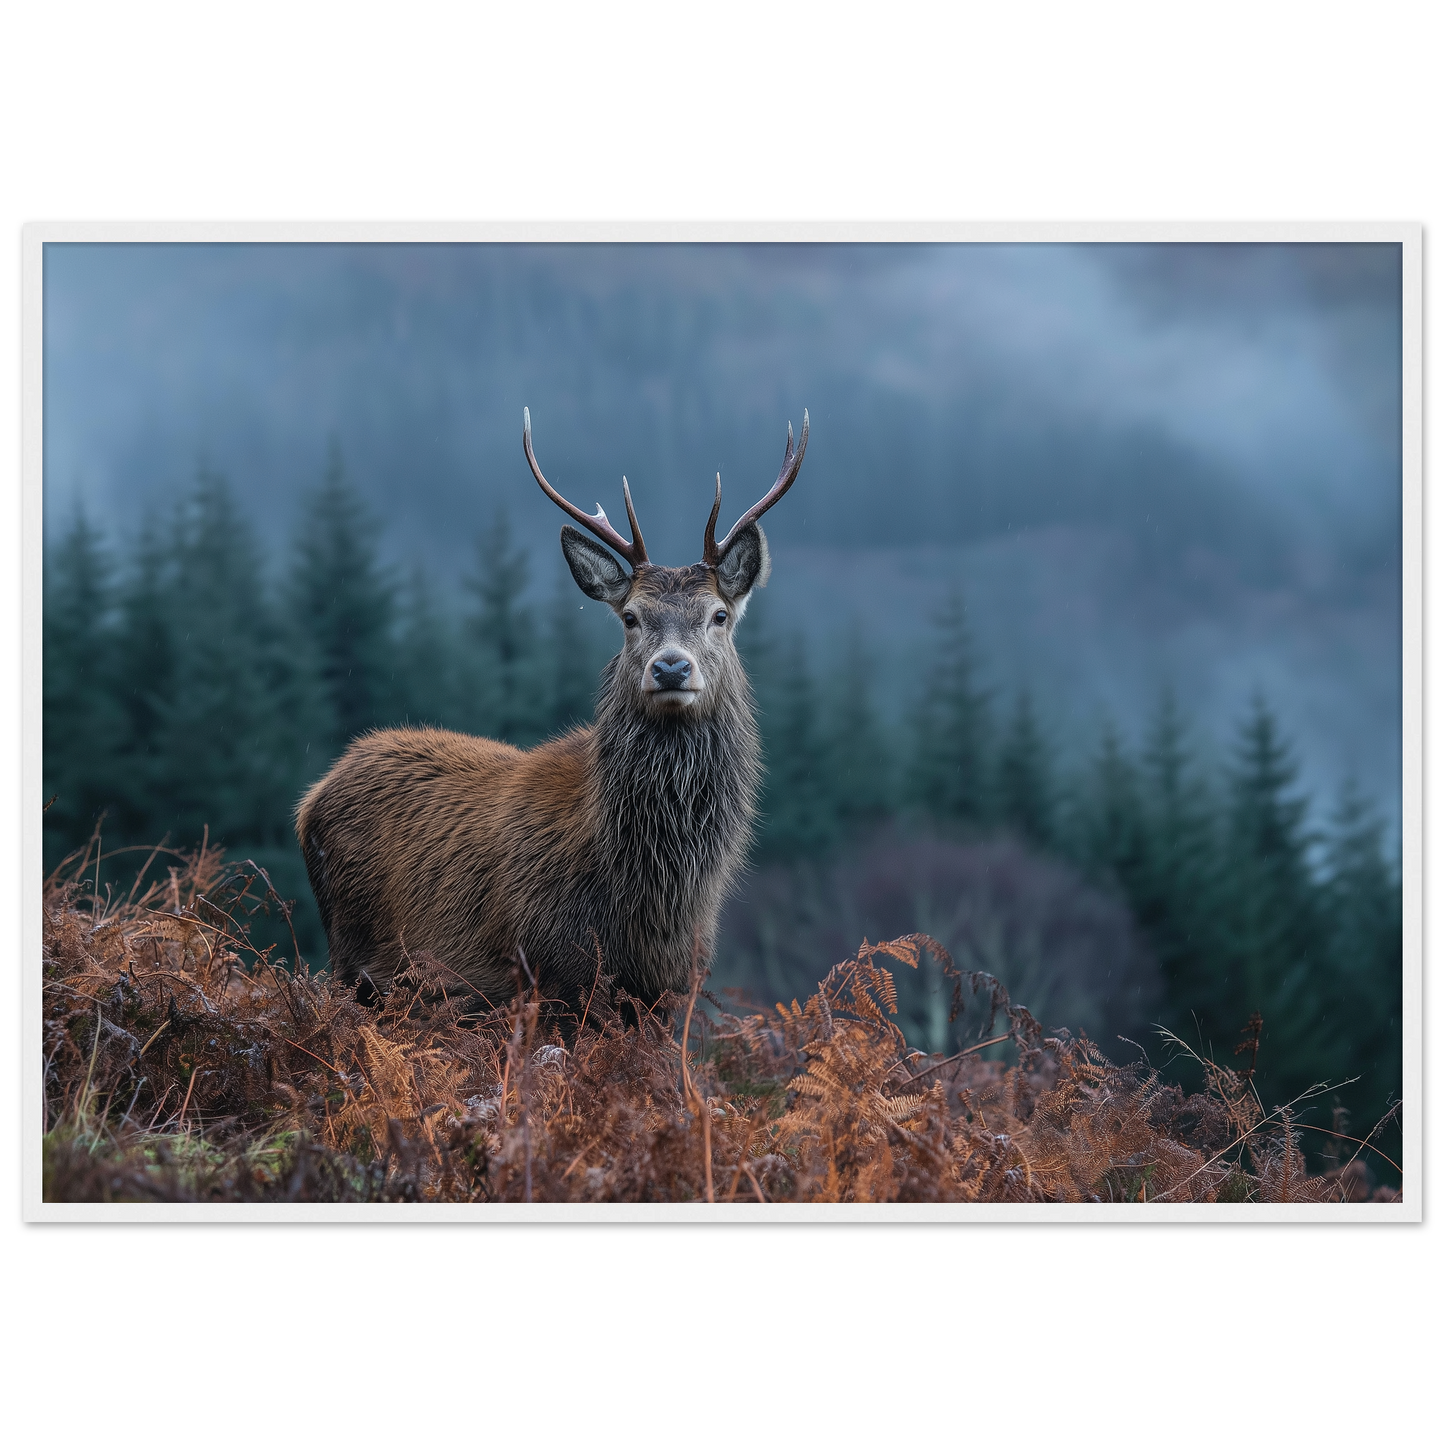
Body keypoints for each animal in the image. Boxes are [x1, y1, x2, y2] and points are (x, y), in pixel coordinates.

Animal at [295, 406, 809, 1023]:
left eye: (718, 615)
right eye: (631, 617)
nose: (670, 668)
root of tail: (312, 797)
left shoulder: (669, 990)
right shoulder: (554, 974)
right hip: (354, 958)